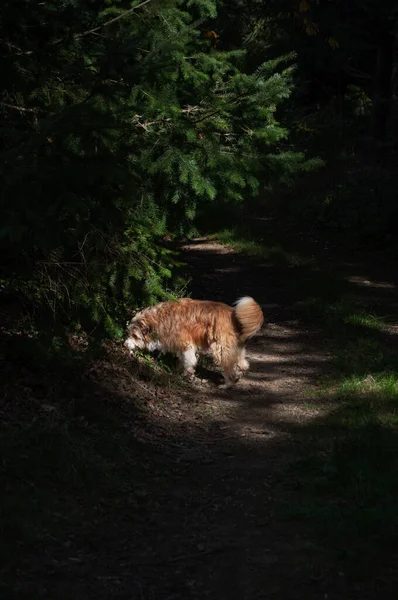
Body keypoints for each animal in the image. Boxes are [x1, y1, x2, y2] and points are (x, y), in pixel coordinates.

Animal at [123, 296, 262, 390]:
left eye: (135, 336)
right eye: (129, 333)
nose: (124, 344)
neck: (160, 320)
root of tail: (233, 314)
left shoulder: (186, 344)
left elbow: (188, 361)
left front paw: (186, 374)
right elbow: (181, 360)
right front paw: (178, 371)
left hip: (222, 349)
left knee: (229, 367)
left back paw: (227, 384)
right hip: (234, 347)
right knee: (242, 364)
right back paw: (238, 376)